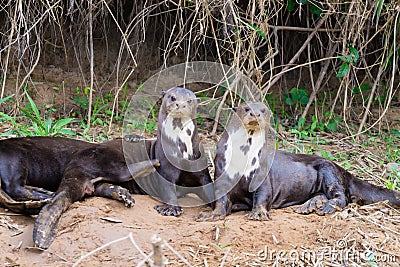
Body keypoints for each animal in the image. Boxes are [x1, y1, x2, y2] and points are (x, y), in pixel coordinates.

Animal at [199, 102, 400, 222]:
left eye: (263, 110)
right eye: (246, 108)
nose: (256, 114)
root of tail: (343, 170)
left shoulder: (262, 176)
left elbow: (263, 195)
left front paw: (259, 213)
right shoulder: (222, 172)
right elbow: (221, 199)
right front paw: (211, 215)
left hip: (328, 171)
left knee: (341, 196)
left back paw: (325, 207)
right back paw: (308, 206)